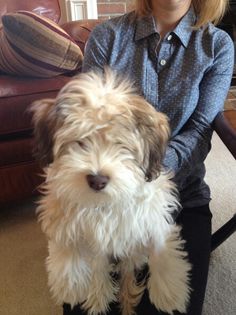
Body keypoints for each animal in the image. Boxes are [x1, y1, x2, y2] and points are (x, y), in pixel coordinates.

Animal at [31, 71, 191, 315]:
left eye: (121, 145)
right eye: (80, 141)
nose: (97, 179)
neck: (104, 203)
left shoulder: (151, 216)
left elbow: (160, 245)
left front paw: (169, 292)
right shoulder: (63, 208)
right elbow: (66, 235)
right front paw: (70, 284)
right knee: (99, 268)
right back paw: (97, 295)